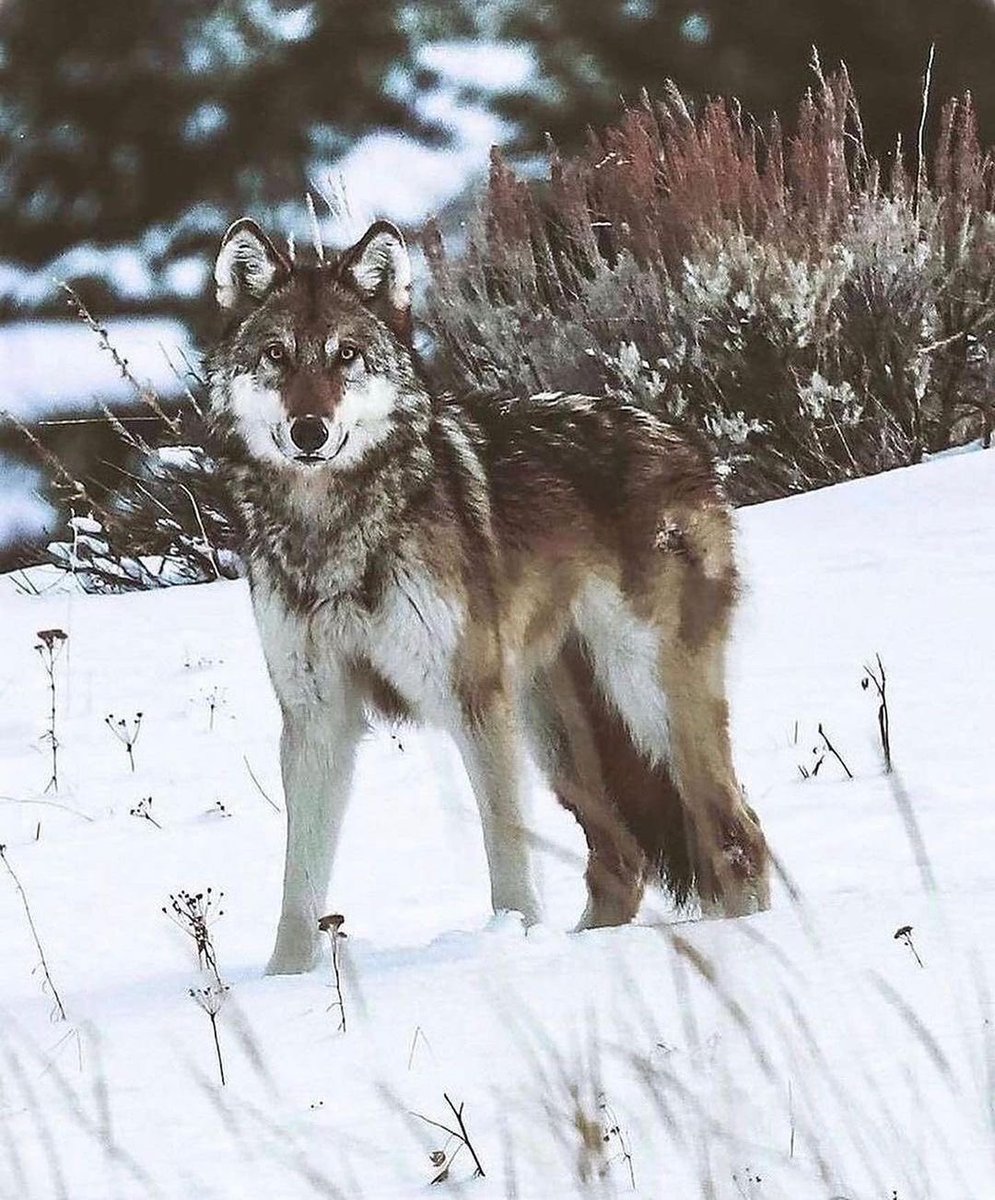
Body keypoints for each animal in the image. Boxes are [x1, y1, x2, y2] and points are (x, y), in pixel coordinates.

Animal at [206, 217, 769, 974]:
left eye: (346, 355)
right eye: (276, 355)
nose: (309, 431)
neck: (334, 529)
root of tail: (687, 444)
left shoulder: (474, 703)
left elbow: (504, 848)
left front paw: (513, 941)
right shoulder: (316, 717)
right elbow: (299, 885)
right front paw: (283, 983)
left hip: (642, 702)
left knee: (737, 833)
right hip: (558, 738)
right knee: (622, 861)